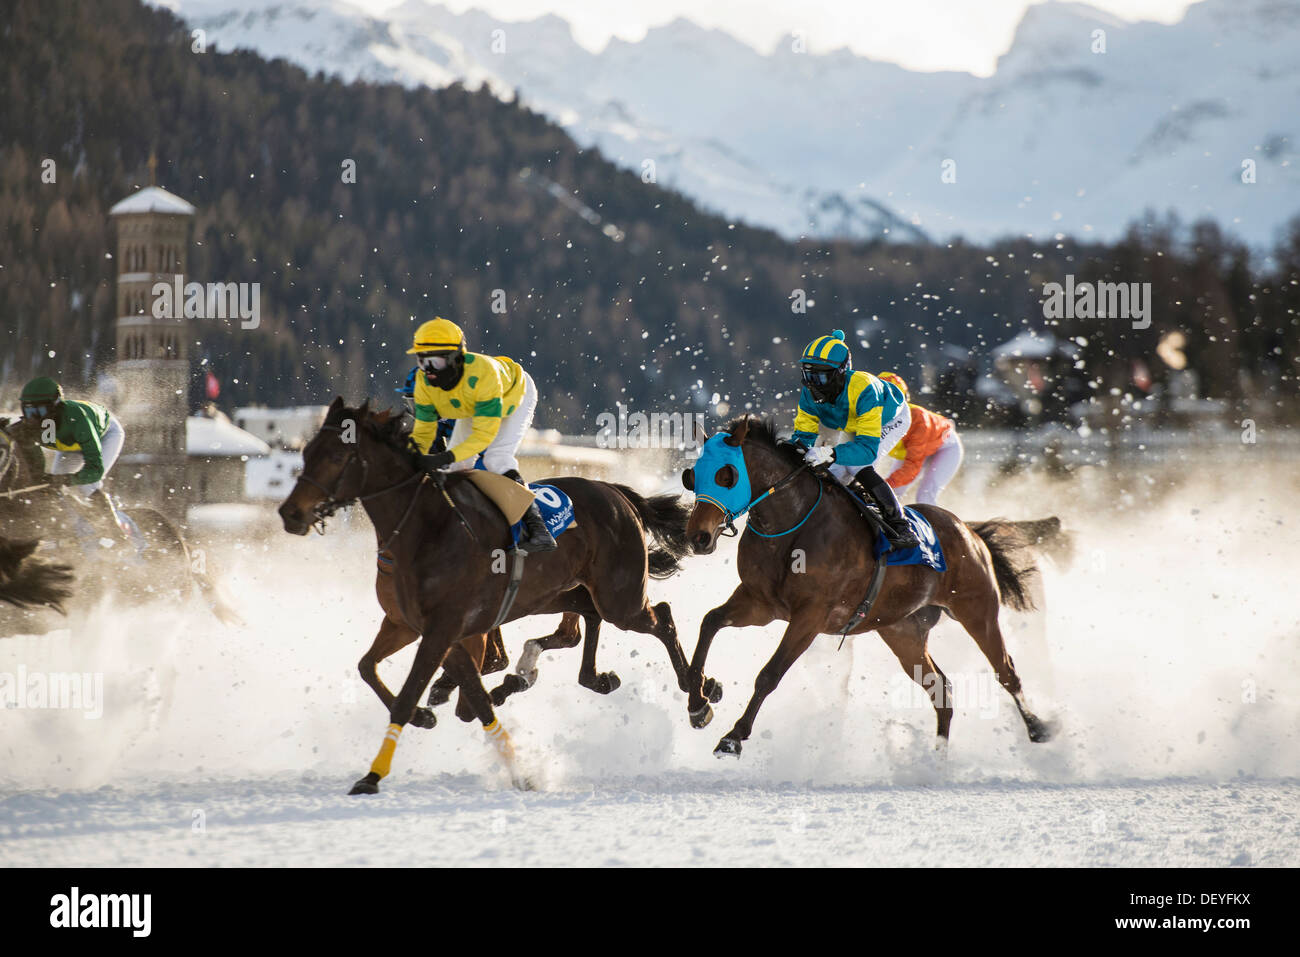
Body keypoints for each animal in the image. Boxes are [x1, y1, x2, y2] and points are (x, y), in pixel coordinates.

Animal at [276, 395, 722, 790]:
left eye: (337, 457)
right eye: (307, 451)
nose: (290, 513)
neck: (426, 527)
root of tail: (616, 492)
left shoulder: (443, 629)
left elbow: (424, 693)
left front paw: (372, 776)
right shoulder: (411, 624)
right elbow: (371, 667)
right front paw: (429, 715)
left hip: (619, 596)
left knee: (661, 617)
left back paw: (697, 699)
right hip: (560, 592)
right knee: (585, 622)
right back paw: (595, 678)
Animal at [681, 416, 1055, 759]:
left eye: (726, 475)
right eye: (692, 475)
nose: (698, 537)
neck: (794, 526)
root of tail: (970, 530)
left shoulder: (810, 617)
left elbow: (769, 674)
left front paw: (732, 737)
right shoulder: (760, 603)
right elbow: (710, 622)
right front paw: (699, 700)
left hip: (977, 611)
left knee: (1006, 671)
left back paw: (1038, 727)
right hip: (902, 631)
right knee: (941, 689)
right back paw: (935, 758)